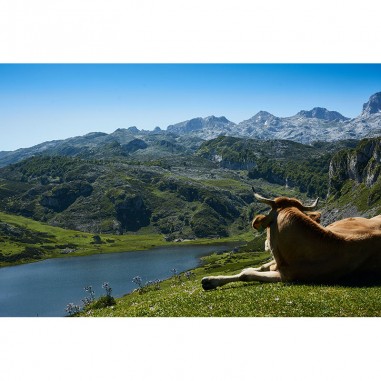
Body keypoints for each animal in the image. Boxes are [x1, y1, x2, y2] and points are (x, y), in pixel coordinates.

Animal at [202, 191, 381, 290]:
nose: (265, 245)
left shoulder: (286, 276)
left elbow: (246, 274)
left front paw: (211, 281)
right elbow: (254, 267)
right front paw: (212, 280)